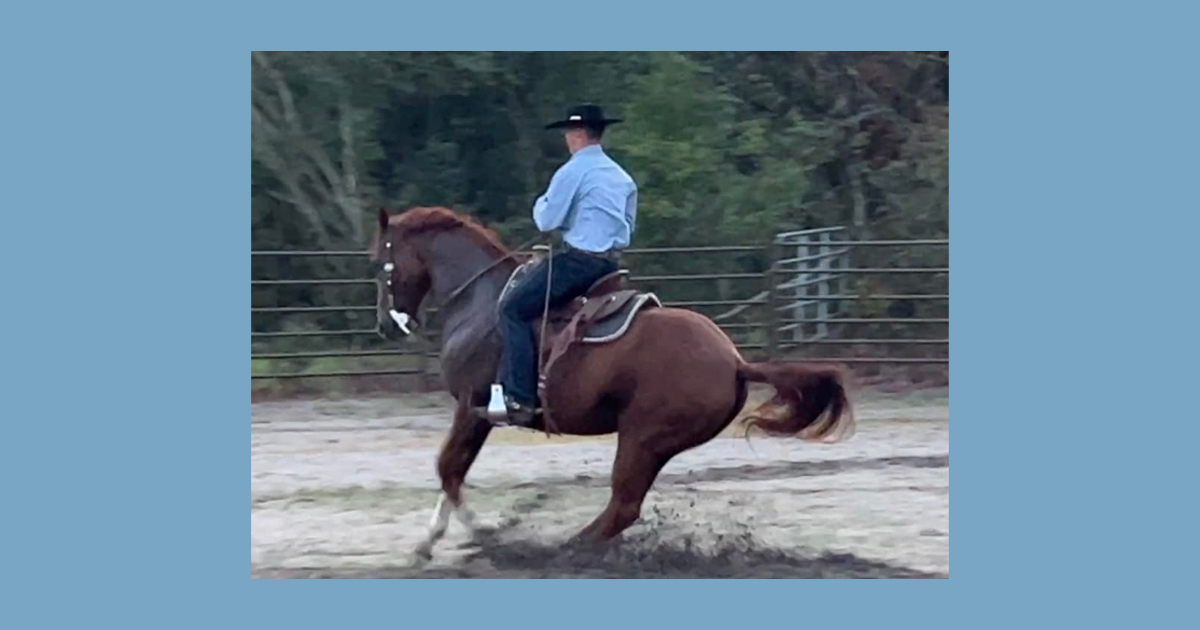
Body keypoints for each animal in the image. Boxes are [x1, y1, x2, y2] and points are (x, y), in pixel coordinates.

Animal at [370, 206, 855, 559]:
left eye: (379, 264)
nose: (385, 326)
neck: (482, 301)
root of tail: (736, 361)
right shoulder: (480, 413)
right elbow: (453, 469)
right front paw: (439, 537)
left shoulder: (473, 406)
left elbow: (448, 467)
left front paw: (478, 533)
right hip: (656, 445)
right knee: (625, 506)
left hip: (640, 437)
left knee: (622, 505)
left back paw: (567, 551)